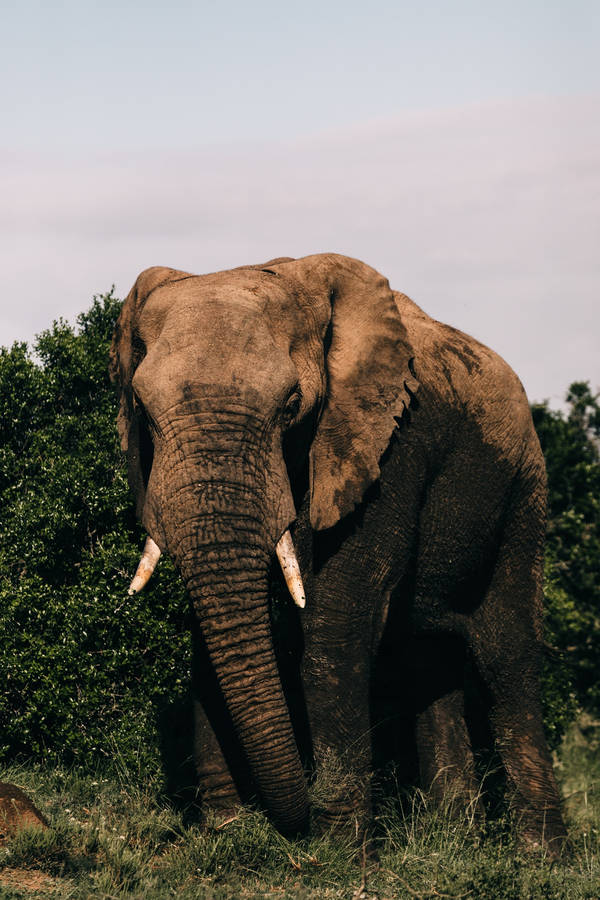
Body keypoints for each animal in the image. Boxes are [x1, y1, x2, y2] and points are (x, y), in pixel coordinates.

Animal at [109, 253, 567, 854]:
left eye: (291, 405)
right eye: (141, 408)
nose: (282, 825)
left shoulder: (392, 442)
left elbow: (335, 624)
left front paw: (337, 855)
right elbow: (210, 632)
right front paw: (227, 836)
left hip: (524, 486)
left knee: (505, 655)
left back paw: (541, 858)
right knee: (426, 658)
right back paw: (454, 840)